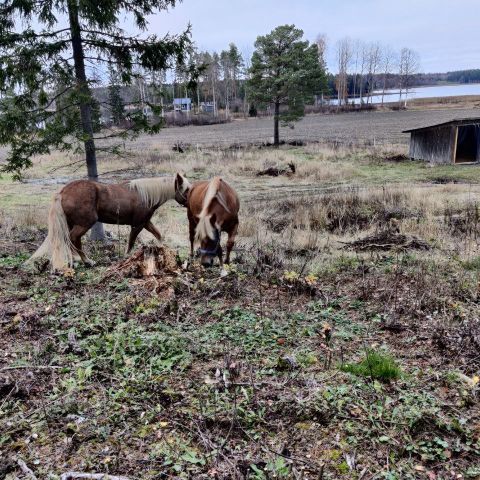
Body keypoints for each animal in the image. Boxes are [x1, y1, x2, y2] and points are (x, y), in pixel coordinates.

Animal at [28, 172, 191, 270]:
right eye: (186, 189)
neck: (146, 195)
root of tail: (63, 192)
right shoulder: (137, 225)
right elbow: (131, 241)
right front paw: (126, 256)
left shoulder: (145, 223)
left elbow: (158, 235)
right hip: (85, 222)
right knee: (73, 238)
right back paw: (85, 260)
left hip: (71, 223)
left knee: (70, 239)